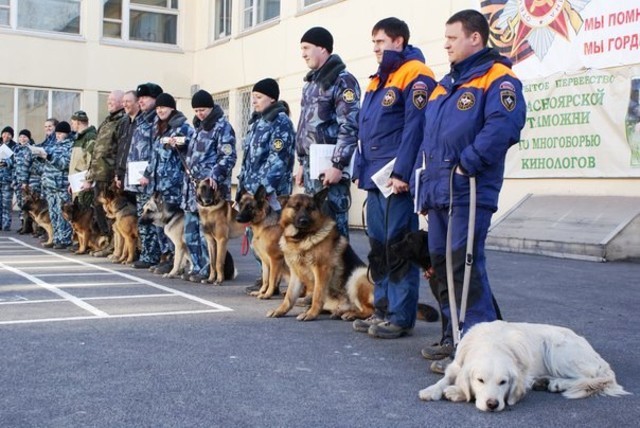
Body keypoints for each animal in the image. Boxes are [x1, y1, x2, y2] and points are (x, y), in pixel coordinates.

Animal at [266, 189, 376, 322]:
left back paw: (351, 314)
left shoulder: (321, 270)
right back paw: (339, 312)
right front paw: (280, 311)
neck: (301, 239)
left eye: (310, 208)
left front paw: (311, 314)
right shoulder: (295, 273)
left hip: (357, 275)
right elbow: (289, 296)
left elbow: (317, 296)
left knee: (370, 310)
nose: (303, 221)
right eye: (296, 207)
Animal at [418, 320, 628, 412]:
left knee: (589, 378)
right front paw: (432, 390)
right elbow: (445, 378)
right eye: (480, 380)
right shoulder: (457, 364)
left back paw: (557, 383)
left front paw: (455, 392)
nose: (492, 404)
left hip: (557, 351)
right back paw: (545, 381)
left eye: (503, 382)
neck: (493, 342)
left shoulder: (523, 376)